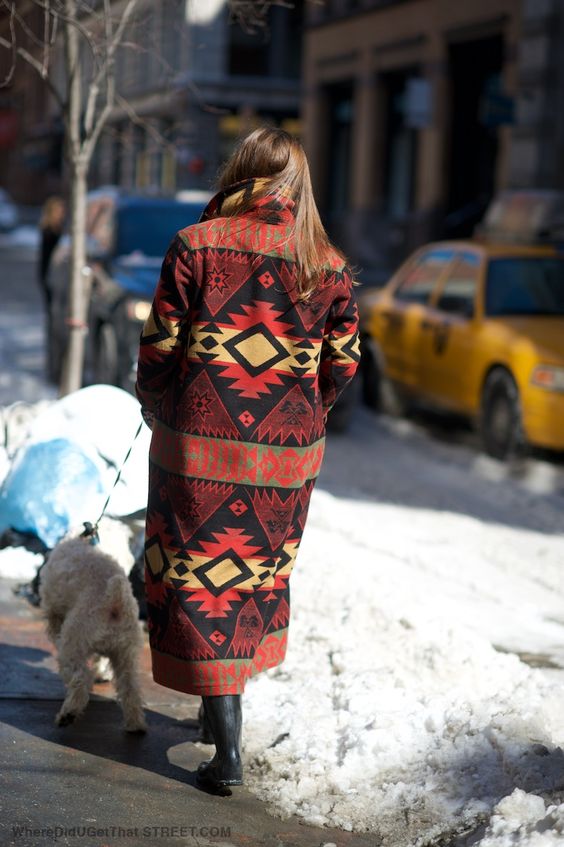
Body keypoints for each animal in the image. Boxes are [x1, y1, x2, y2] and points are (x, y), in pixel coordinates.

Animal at [41, 540, 149, 732]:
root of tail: (115, 600)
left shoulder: (54, 612)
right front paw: (101, 673)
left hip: (73, 644)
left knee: (80, 679)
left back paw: (68, 714)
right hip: (126, 653)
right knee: (130, 687)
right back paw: (136, 725)